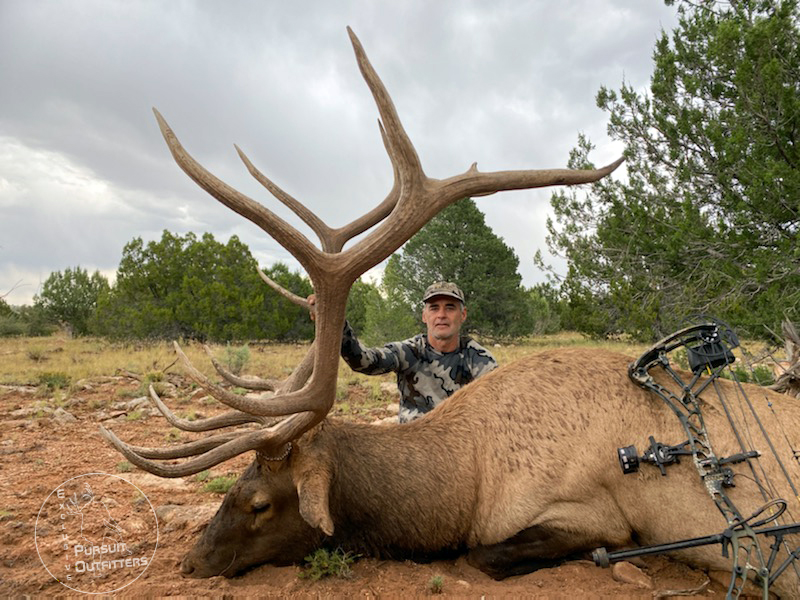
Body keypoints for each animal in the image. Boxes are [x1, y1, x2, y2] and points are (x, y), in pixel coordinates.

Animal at [100, 27, 800, 596]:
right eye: (234, 487)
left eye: (259, 503)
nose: (189, 562)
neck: (467, 481)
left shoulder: (594, 513)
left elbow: (482, 555)